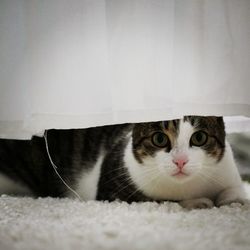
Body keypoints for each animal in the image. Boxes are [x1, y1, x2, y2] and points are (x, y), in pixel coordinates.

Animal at [0, 115, 246, 209]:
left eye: (199, 138)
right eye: (159, 139)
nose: (180, 161)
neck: (187, 187)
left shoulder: (228, 174)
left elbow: (236, 192)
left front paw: (229, 200)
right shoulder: (113, 192)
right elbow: (161, 200)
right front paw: (198, 202)